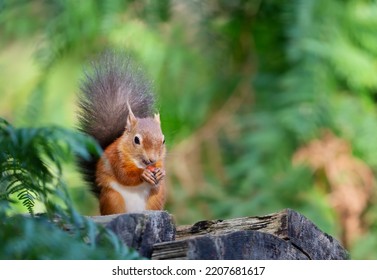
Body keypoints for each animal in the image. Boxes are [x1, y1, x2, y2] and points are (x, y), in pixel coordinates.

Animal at [76, 51, 164, 215]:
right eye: (136, 140)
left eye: (163, 141)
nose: (152, 160)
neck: (140, 163)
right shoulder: (116, 158)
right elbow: (124, 176)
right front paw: (142, 175)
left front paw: (161, 173)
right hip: (113, 198)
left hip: (155, 199)